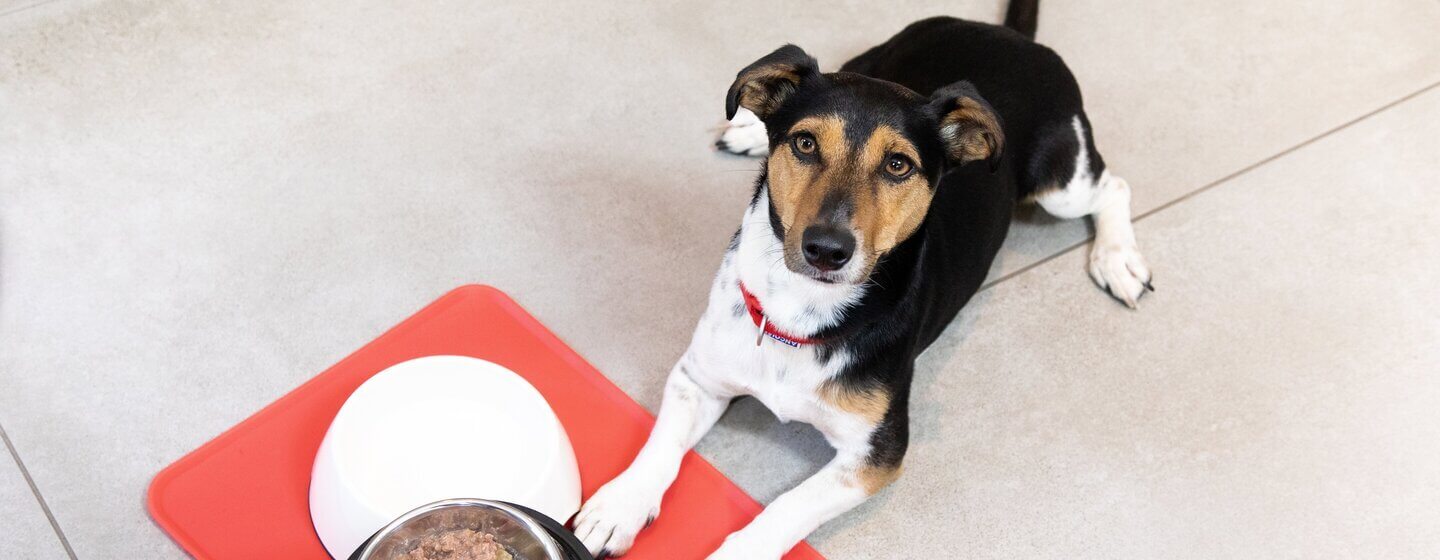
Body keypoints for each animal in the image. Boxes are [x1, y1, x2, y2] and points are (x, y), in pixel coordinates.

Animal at [570, 2, 1146, 555]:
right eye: (804, 144)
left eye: (898, 165)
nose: (826, 249)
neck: (801, 311)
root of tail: (1011, 36)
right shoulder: (699, 377)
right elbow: (660, 446)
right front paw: (618, 507)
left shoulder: (875, 454)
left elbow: (784, 509)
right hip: (865, 59)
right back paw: (749, 130)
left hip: (1060, 181)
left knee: (1114, 186)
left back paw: (1118, 259)